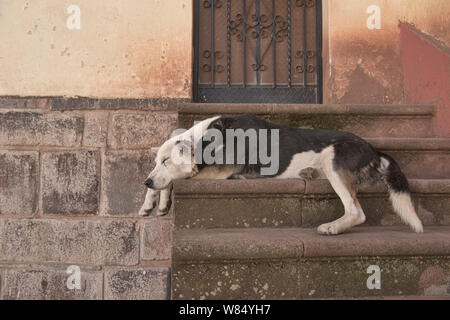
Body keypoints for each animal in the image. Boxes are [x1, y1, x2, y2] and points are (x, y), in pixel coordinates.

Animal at [139, 115, 424, 235]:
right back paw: (309, 172)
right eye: (157, 161)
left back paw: (332, 227)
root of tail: (375, 150)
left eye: (166, 161)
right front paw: (148, 203)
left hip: (333, 156)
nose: (147, 179)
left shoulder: (218, 172)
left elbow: (174, 181)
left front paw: (161, 200)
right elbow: (162, 184)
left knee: (356, 212)